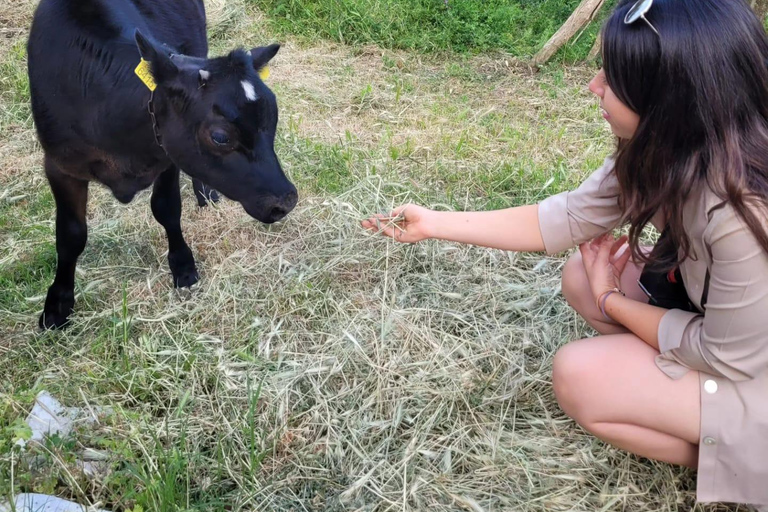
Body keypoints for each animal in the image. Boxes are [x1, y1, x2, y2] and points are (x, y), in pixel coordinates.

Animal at [27, 0, 298, 329]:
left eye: (273, 117)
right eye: (220, 137)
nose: (286, 201)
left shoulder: (167, 156)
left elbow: (167, 209)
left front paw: (183, 265)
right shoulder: (59, 166)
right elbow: (70, 235)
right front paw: (57, 304)